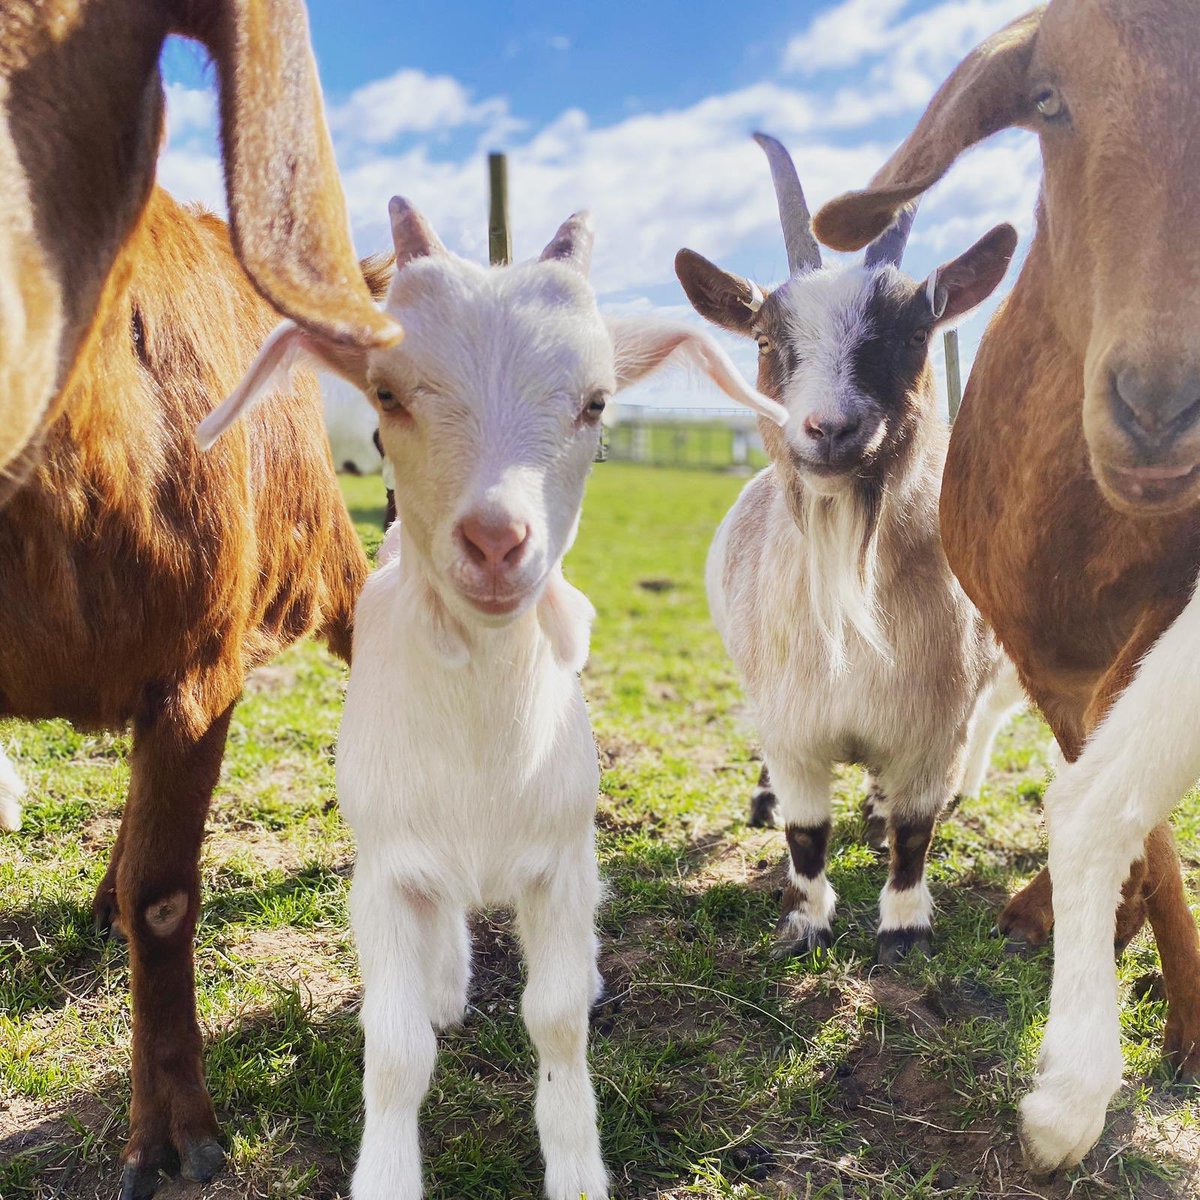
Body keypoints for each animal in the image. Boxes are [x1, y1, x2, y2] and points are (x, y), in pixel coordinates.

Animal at [198, 198, 787, 1200]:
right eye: (387, 395)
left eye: (597, 402)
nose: (498, 541)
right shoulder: (386, 873)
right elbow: (393, 1048)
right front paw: (387, 1174)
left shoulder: (559, 860)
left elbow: (556, 1020)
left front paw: (577, 1167)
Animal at [676, 133, 1019, 963]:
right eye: (767, 339)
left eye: (914, 336)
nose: (830, 428)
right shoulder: (794, 723)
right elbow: (806, 831)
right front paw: (805, 922)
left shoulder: (933, 727)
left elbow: (915, 829)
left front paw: (904, 927)